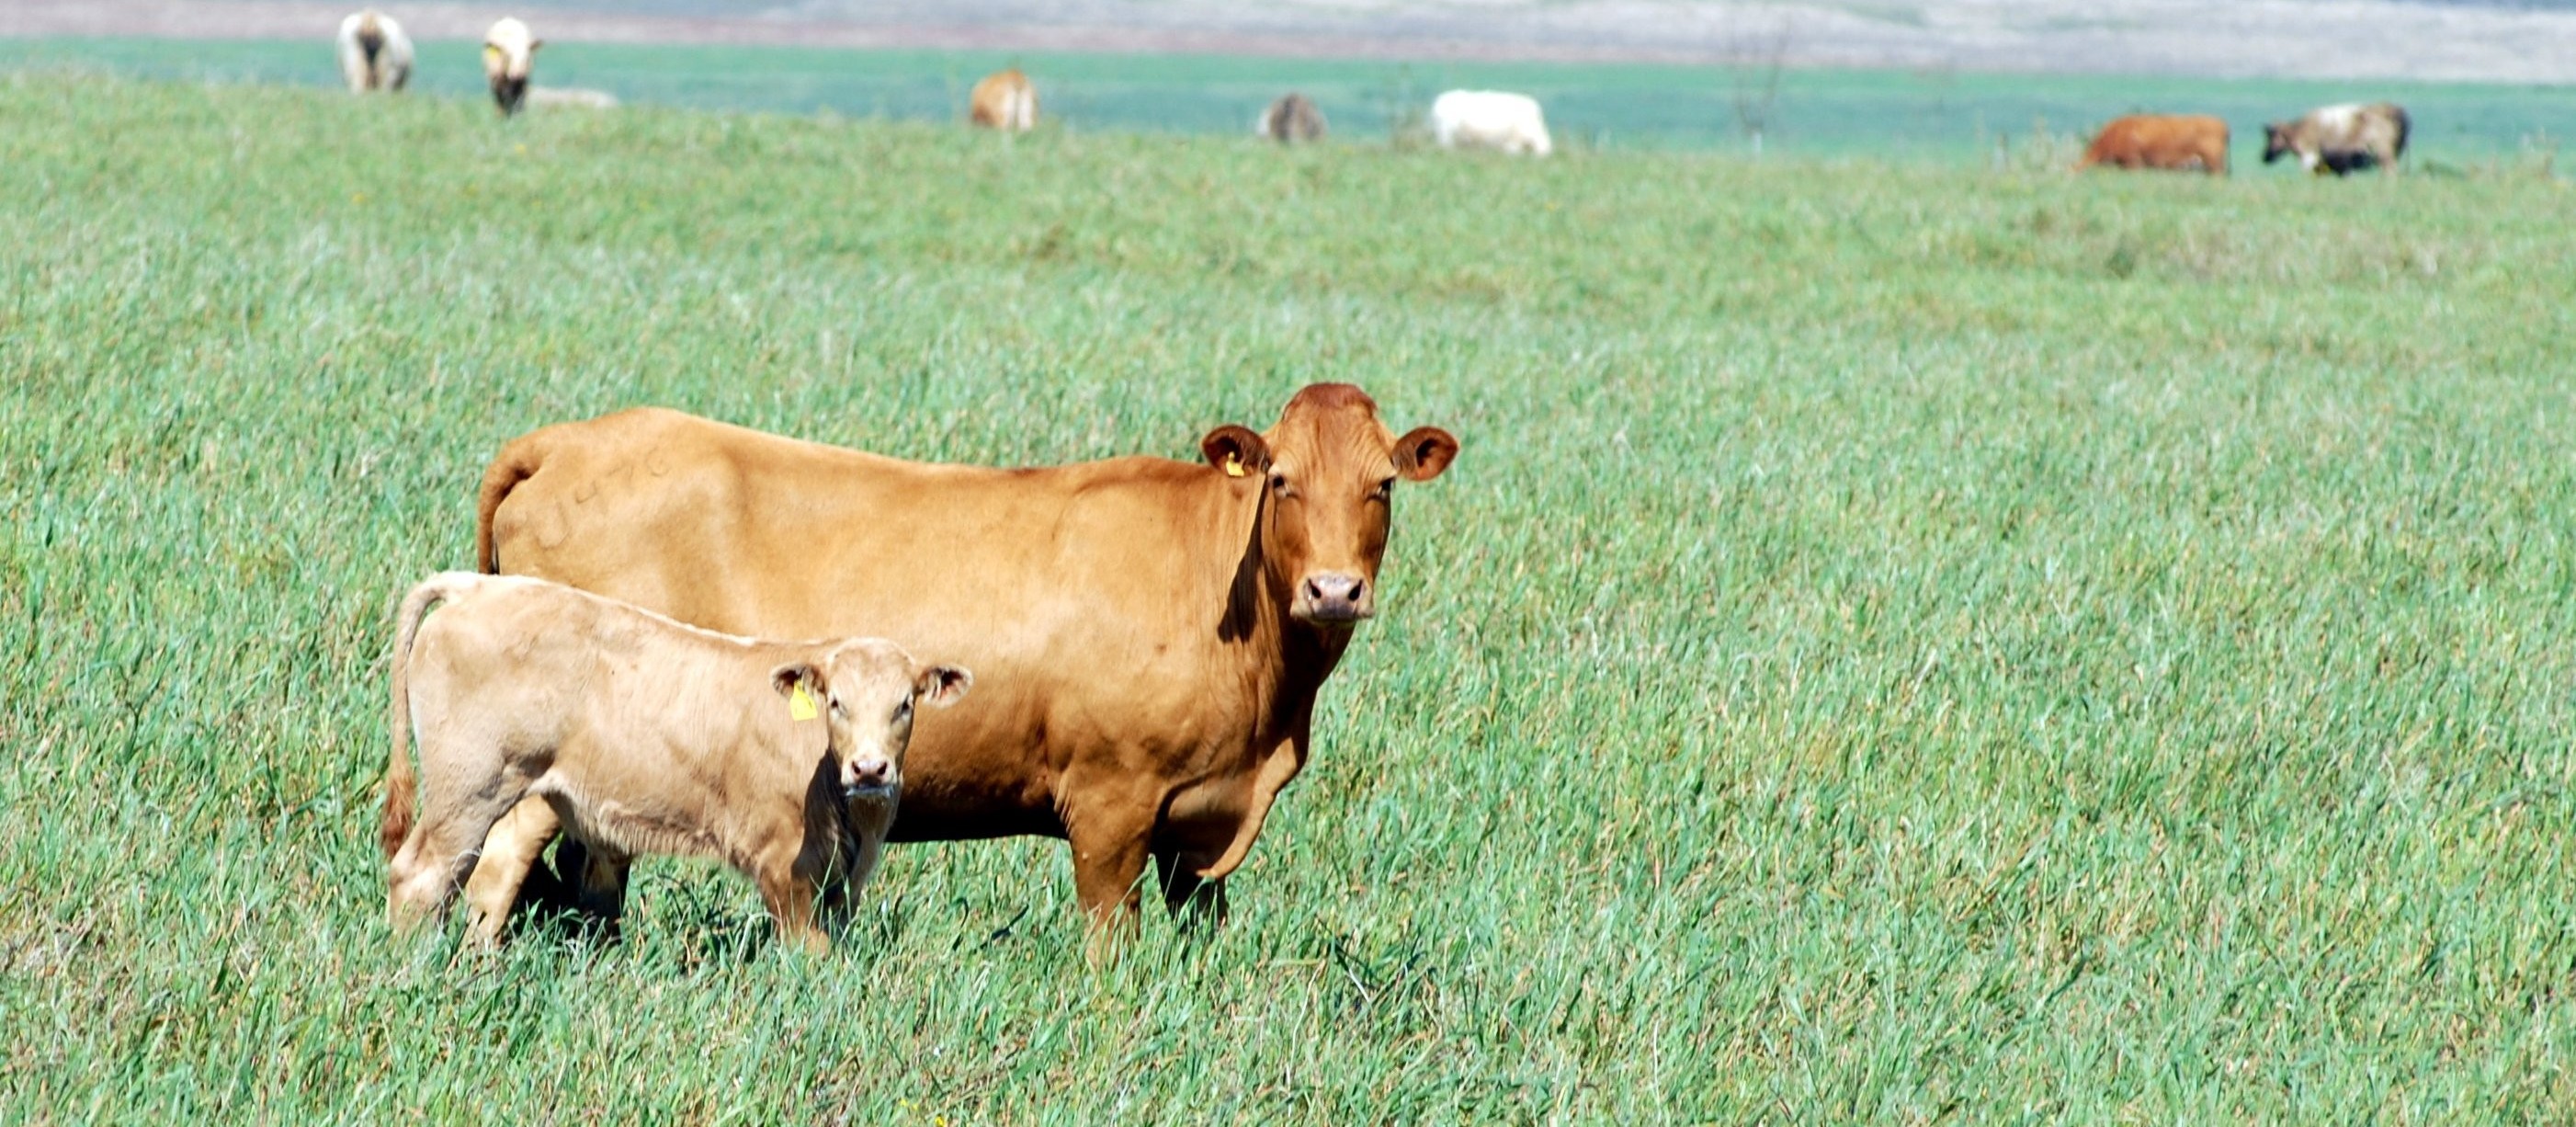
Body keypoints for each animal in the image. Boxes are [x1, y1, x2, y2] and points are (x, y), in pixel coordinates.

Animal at [383, 570, 973, 949]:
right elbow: (809, 952)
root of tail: (481, 586)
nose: (870, 769)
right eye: (836, 703)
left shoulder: (846, 875)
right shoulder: (787, 863)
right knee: (424, 876)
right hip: (469, 788)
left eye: (904, 704)